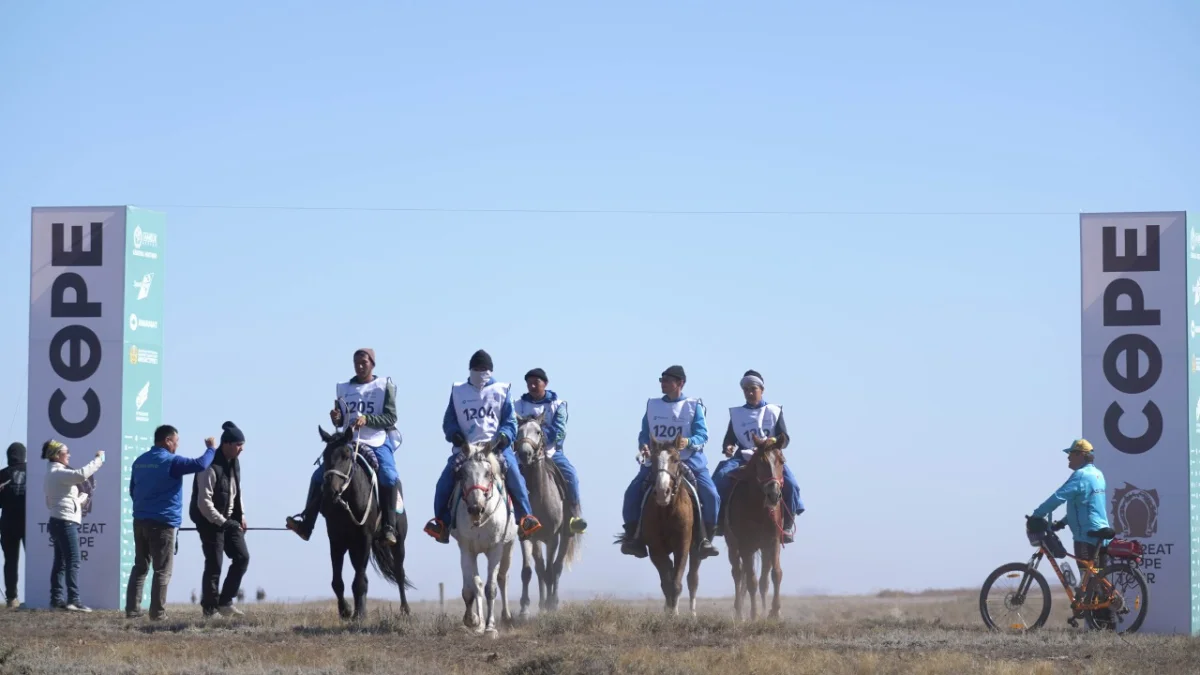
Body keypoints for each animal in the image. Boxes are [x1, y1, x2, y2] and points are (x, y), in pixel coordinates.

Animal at [316, 425, 415, 619]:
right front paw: (346, 610)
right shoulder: (337, 541)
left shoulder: (364, 539)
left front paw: (358, 615)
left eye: (346, 455)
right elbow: (337, 581)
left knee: (399, 572)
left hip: (398, 542)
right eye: (325, 456)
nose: (330, 493)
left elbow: (359, 581)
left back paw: (405, 610)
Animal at [451, 439, 516, 634]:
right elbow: (471, 589)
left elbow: (491, 588)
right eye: (463, 473)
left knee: (503, 578)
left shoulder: (496, 549)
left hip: (509, 547)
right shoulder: (466, 549)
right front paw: (473, 620)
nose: (475, 508)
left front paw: (490, 627)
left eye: (488, 474)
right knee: (477, 585)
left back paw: (506, 617)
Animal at [513, 410, 578, 614]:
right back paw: (541, 604)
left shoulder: (552, 537)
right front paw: (524, 609)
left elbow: (551, 570)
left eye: (538, 431)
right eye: (519, 431)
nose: (525, 453)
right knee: (540, 568)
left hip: (565, 536)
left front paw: (551, 605)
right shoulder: (526, 536)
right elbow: (528, 572)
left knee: (555, 568)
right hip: (537, 541)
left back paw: (552, 602)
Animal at [633, 437, 700, 614]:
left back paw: (692, 613)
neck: (667, 511)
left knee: (692, 579)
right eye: (654, 460)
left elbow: (676, 583)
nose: (663, 492)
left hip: (696, 551)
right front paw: (669, 612)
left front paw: (674, 614)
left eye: (676, 460)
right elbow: (666, 582)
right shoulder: (656, 549)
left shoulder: (682, 546)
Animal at [720, 432, 787, 619]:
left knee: (763, 579)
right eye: (760, 462)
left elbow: (775, 574)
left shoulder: (773, 542)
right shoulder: (745, 545)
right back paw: (739, 612)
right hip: (734, 545)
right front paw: (754, 614)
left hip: (762, 548)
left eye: (781, 460)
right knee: (738, 573)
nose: (773, 494)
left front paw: (774, 612)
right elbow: (751, 580)